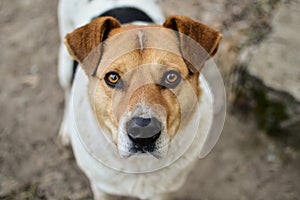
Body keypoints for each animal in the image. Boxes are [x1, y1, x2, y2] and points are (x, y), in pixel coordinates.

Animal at [57, 0, 221, 200]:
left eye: (171, 77)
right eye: (112, 78)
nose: (143, 132)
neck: (140, 165)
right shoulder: (102, 188)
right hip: (64, 64)